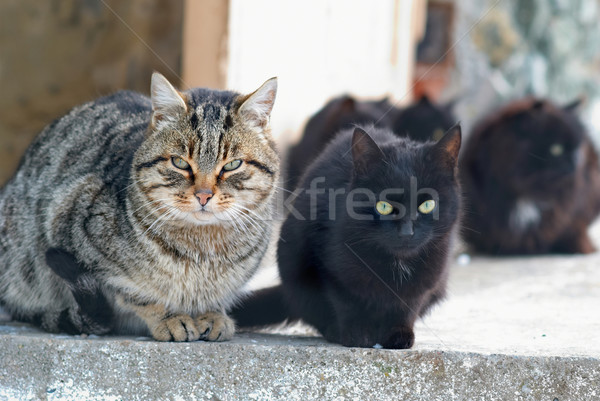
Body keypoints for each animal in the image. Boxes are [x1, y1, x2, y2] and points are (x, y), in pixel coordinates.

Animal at [0, 72, 282, 340]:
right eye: (180, 162)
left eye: (232, 165)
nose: (204, 195)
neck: (202, 248)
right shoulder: (71, 223)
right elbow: (135, 293)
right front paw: (170, 317)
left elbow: (215, 295)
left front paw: (212, 314)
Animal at [232, 124, 462, 346]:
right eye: (384, 206)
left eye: (427, 204)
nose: (407, 231)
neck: (396, 263)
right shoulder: (327, 265)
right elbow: (346, 302)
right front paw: (356, 334)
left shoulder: (427, 279)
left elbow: (408, 306)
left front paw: (399, 334)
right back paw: (334, 331)